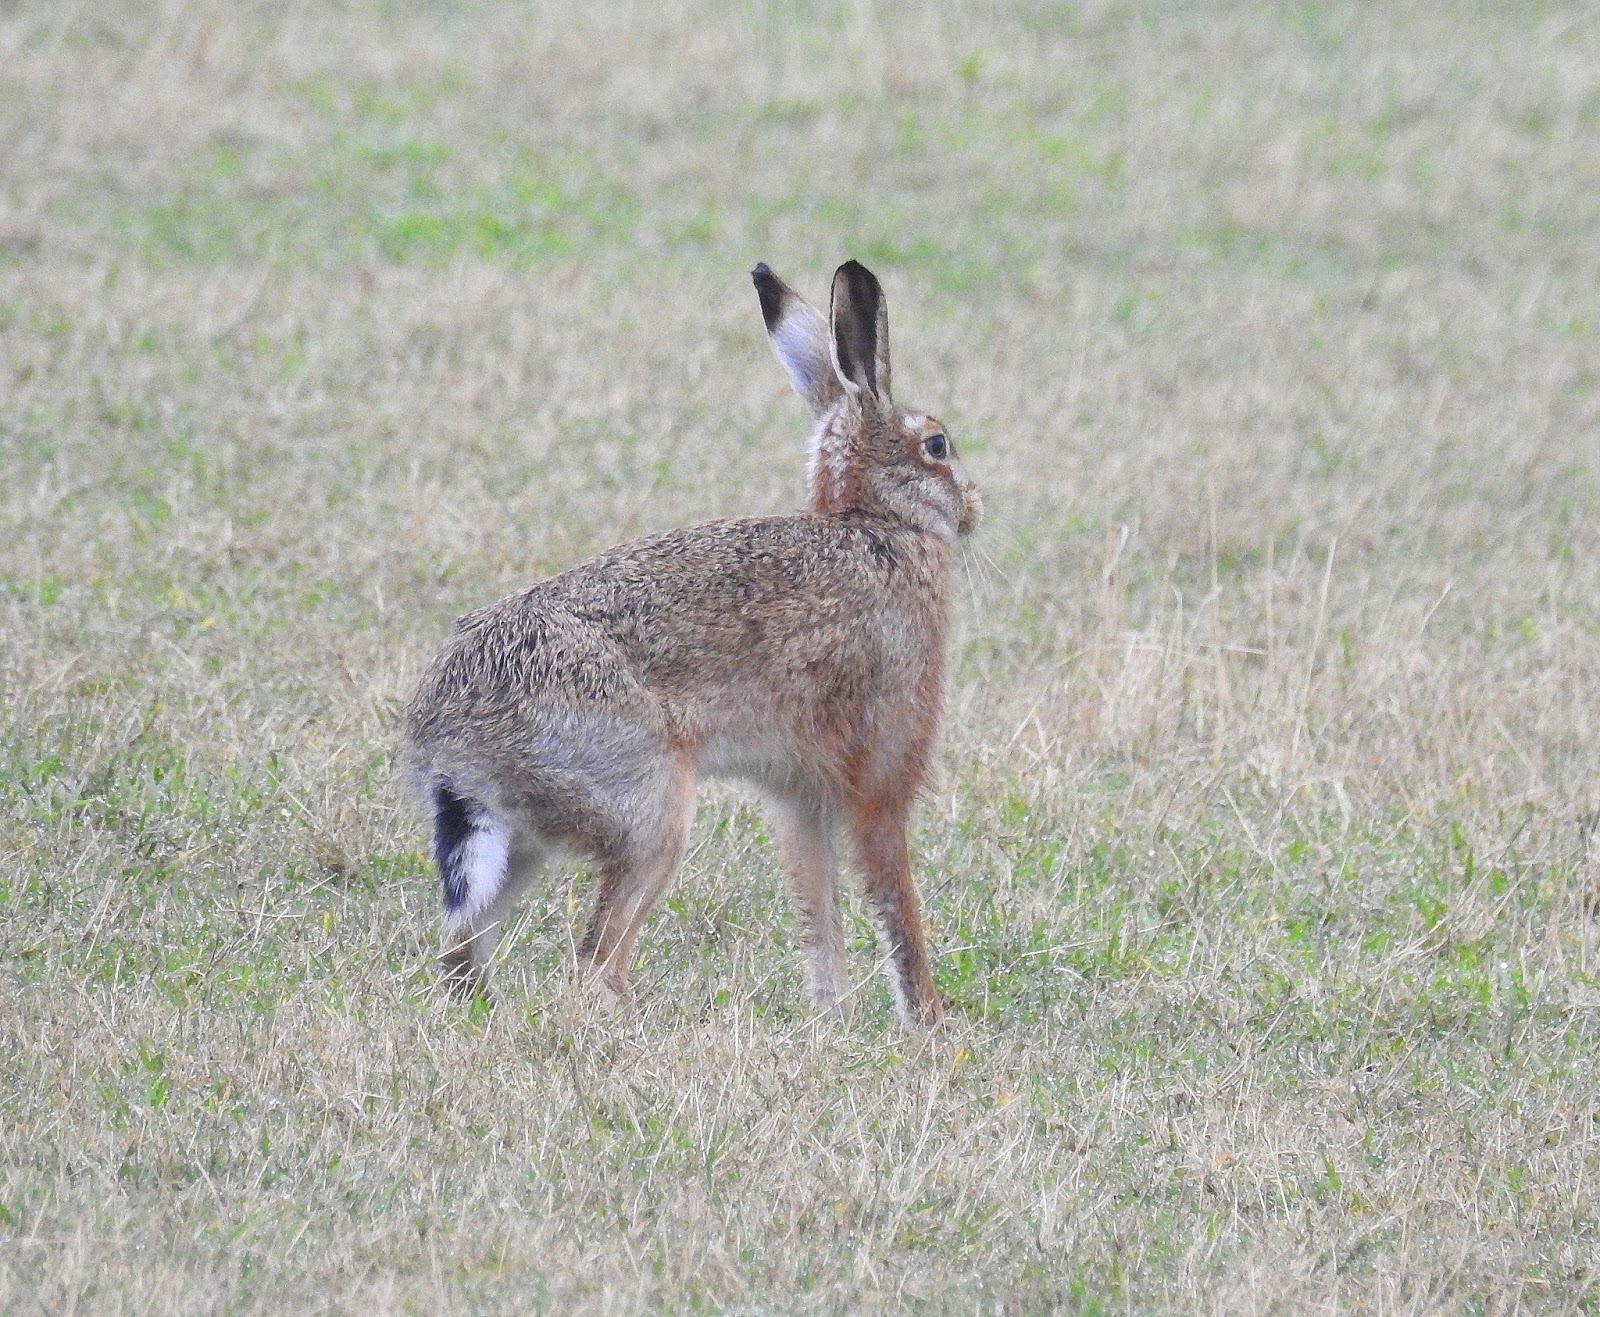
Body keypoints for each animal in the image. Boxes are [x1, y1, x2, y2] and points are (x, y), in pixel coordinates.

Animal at [402, 260, 982, 1027]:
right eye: (937, 445)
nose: (974, 509)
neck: (876, 524)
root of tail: (449, 743)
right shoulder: (882, 769)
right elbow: (893, 899)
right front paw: (928, 1021)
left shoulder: (801, 796)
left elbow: (818, 909)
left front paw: (830, 1019)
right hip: (649, 811)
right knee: (593, 960)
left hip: (523, 841)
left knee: (463, 951)